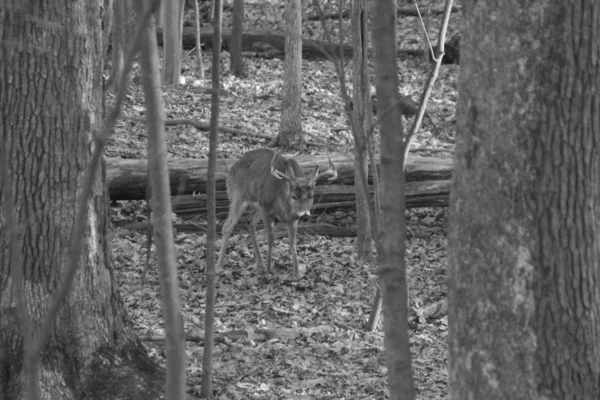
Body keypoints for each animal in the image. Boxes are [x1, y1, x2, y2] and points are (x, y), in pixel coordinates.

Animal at [216, 148, 338, 280]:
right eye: (294, 196)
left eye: (311, 196)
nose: (305, 215)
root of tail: (233, 166)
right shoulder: (265, 207)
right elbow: (270, 238)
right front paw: (269, 271)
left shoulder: (293, 218)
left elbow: (293, 242)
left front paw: (297, 273)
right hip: (238, 194)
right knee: (227, 226)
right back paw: (219, 265)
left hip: (256, 205)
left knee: (249, 223)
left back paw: (260, 264)